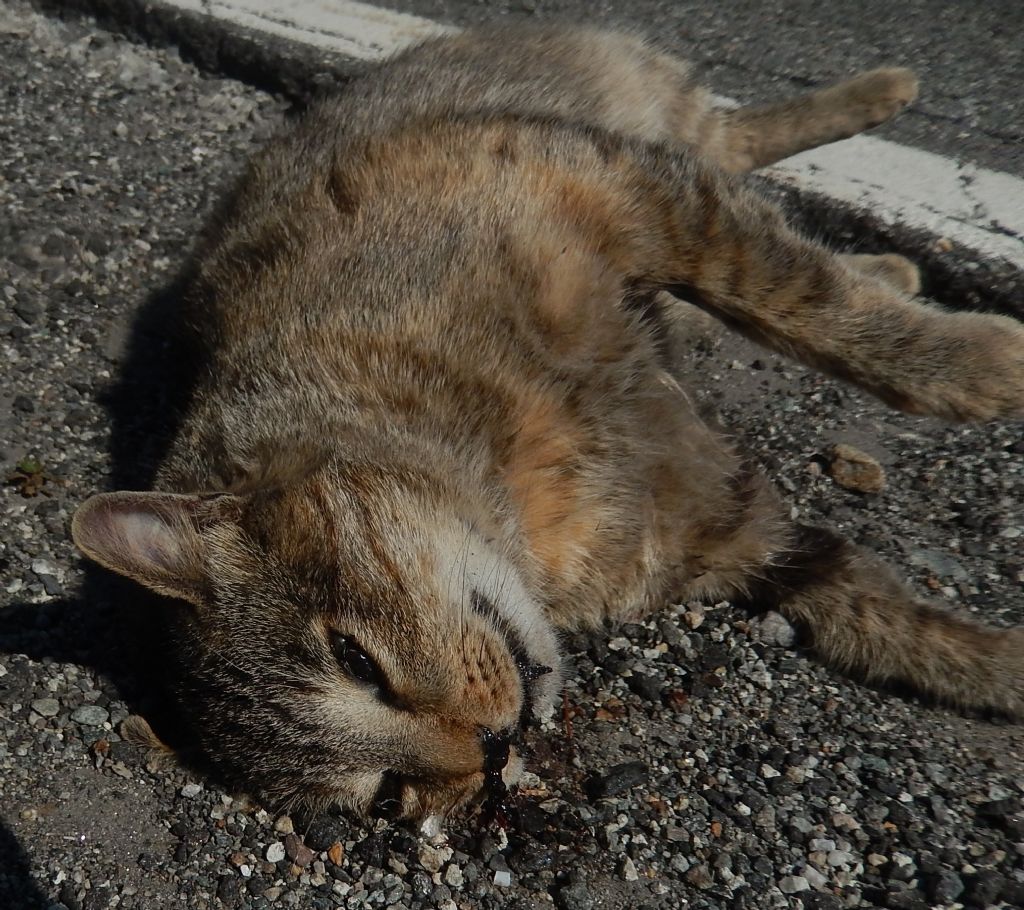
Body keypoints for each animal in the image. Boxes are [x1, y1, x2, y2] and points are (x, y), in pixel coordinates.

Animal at [68, 23, 1019, 831]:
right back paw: (892, 251)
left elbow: (806, 303)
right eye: (386, 794)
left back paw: (883, 105)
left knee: (738, 145)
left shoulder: (608, 186)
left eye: (356, 660)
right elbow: (882, 616)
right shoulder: (739, 535)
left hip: (626, 116)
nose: (492, 751)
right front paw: (1000, 666)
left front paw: (979, 365)